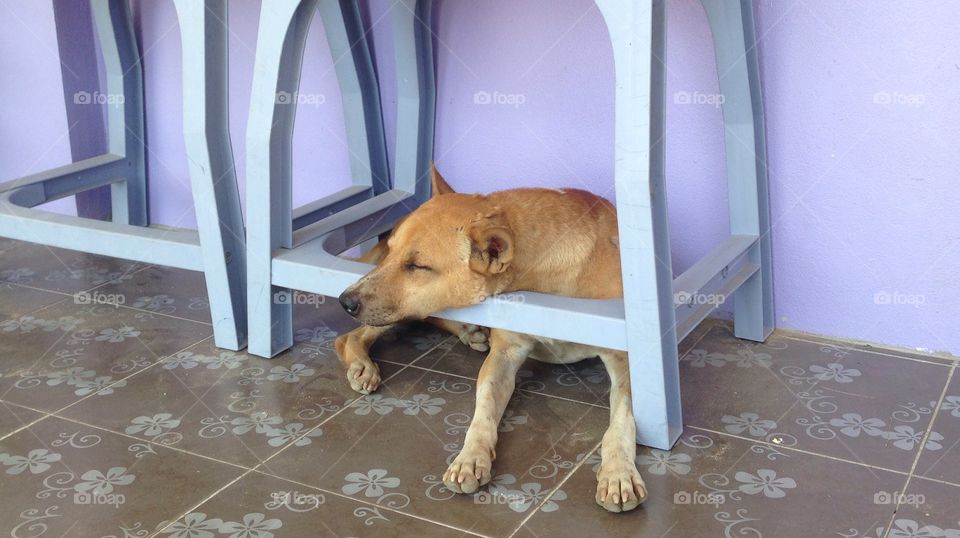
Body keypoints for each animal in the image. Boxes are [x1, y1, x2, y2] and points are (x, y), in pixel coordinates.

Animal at [336, 164, 644, 510]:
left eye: (417, 265)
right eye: (391, 251)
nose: (345, 301)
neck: (542, 277)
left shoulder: (627, 362)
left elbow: (620, 422)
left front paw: (618, 472)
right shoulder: (504, 356)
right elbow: (482, 411)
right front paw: (470, 457)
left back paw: (468, 332)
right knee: (349, 337)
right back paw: (362, 365)